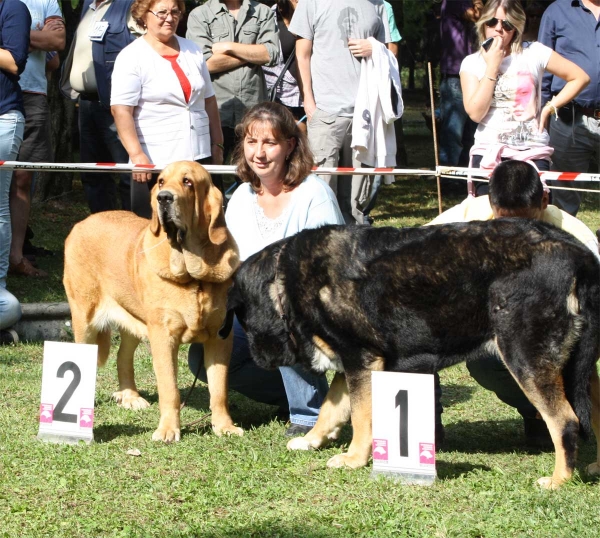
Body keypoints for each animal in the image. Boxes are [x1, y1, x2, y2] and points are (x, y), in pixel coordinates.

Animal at [64, 160, 243, 440]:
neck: (193, 274)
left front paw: (224, 426)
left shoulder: (219, 337)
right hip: (85, 319)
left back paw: (130, 397)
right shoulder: (163, 336)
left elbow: (219, 389)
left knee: (123, 357)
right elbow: (170, 389)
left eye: (188, 182)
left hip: (133, 322)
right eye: (161, 182)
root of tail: (81, 223)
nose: (164, 198)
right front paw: (168, 430)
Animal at [221, 217, 600, 486]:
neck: (285, 281)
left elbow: (360, 418)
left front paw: (354, 459)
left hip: (524, 357)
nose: (259, 359)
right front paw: (312, 440)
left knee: (564, 421)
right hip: (579, 370)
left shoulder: (361, 360)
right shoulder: (353, 363)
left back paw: (558, 480)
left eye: (245, 321)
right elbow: (331, 408)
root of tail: (578, 253)